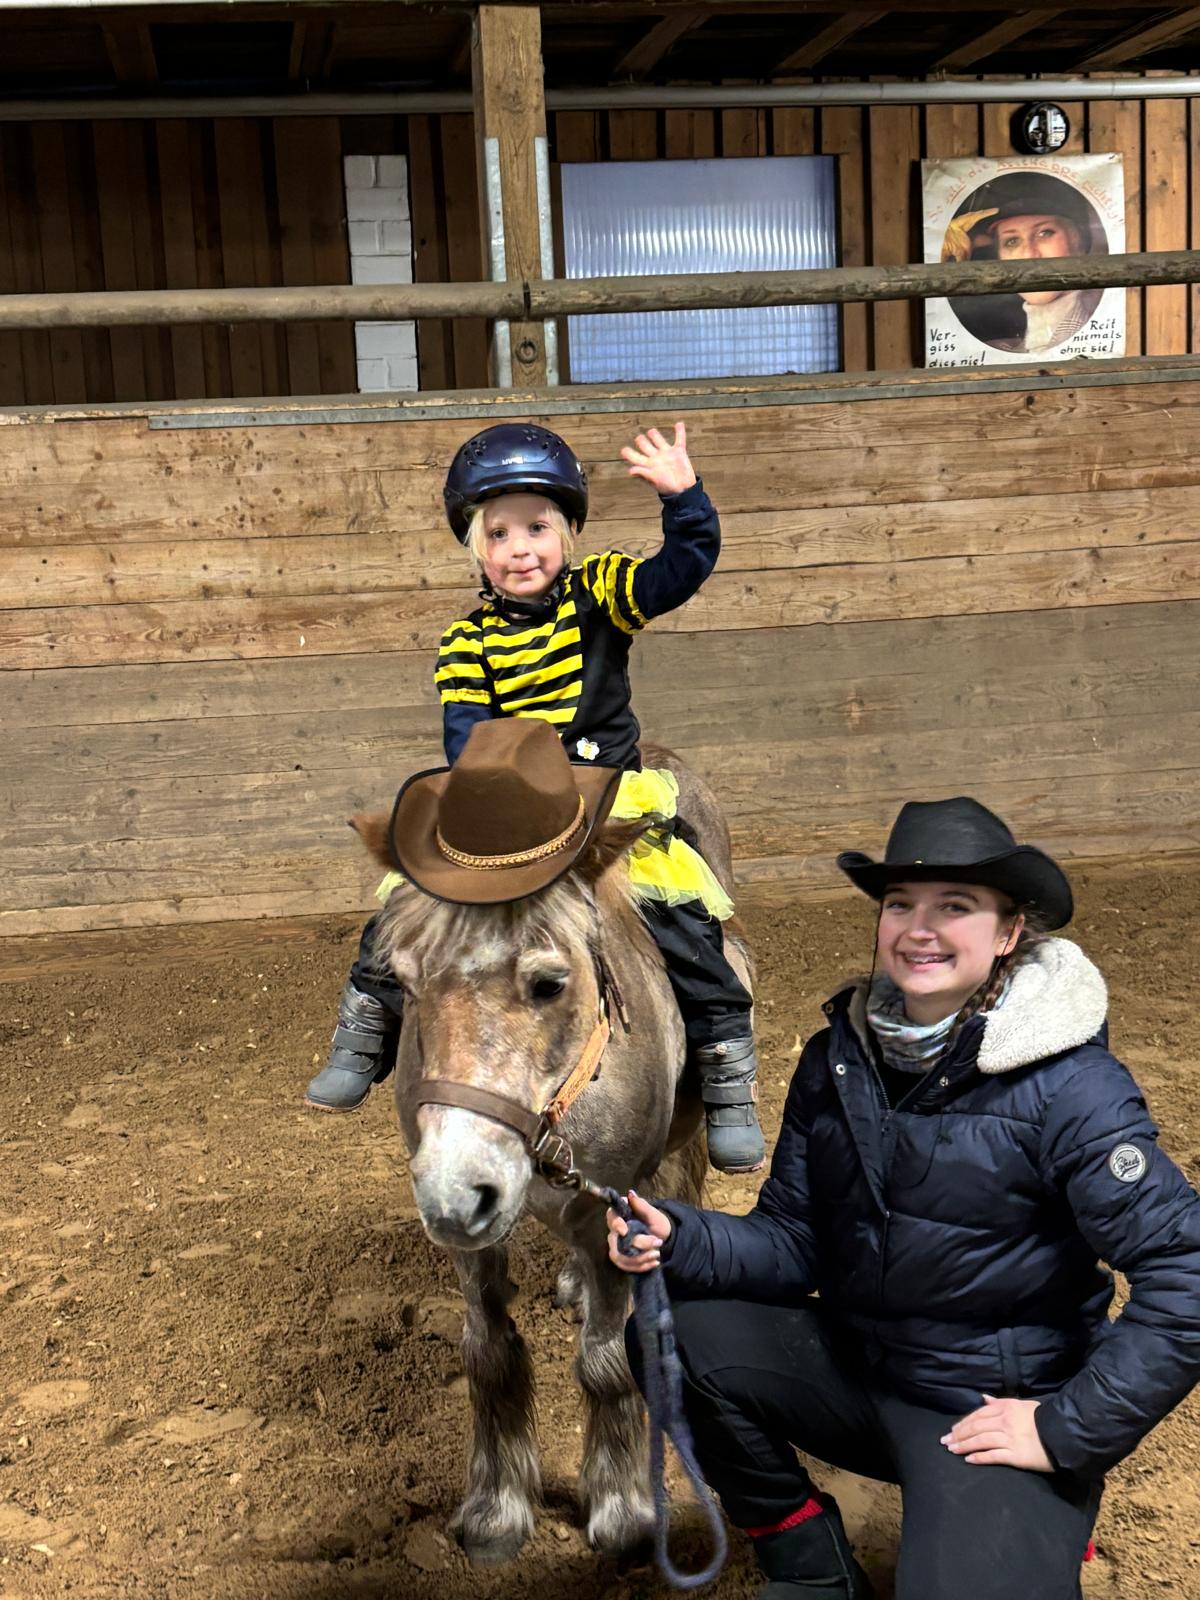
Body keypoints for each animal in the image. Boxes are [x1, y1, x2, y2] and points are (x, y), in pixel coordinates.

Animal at [352, 747, 753, 1566]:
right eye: (402, 980)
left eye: (549, 982)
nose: (456, 1192)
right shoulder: (475, 1240)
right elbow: (489, 1352)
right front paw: (496, 1510)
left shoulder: (615, 1210)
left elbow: (606, 1361)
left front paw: (623, 1513)